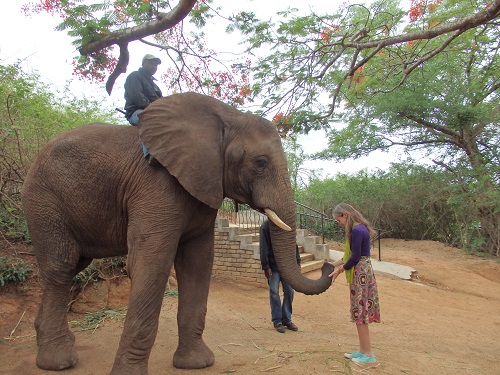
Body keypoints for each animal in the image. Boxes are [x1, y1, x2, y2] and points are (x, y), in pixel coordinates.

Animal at [21, 92, 334, 375]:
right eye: (260, 163)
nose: (329, 266)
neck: (227, 118)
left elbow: (196, 265)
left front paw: (197, 364)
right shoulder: (156, 186)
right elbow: (151, 264)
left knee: (72, 265)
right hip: (44, 200)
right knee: (61, 266)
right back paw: (58, 361)